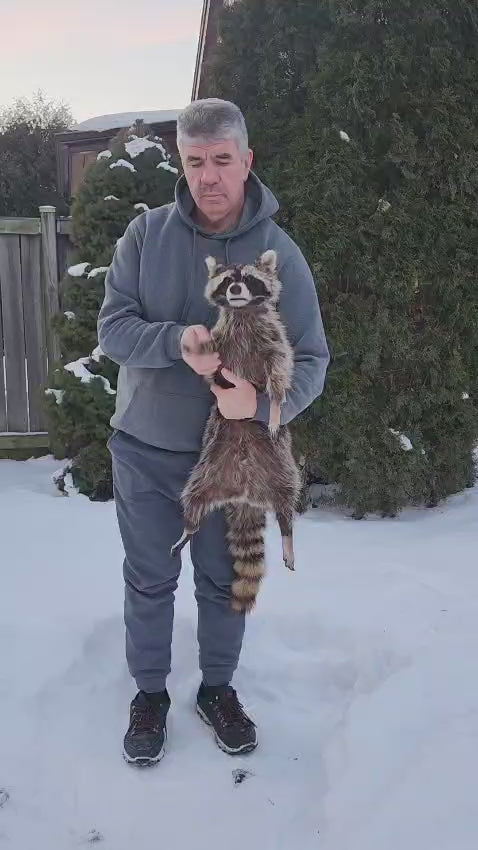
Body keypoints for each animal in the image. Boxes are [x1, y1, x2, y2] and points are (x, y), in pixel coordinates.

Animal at [171, 250, 301, 612]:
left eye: (248, 279)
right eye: (228, 280)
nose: (234, 291)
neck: (242, 312)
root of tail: (244, 493)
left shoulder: (273, 339)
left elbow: (280, 370)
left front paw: (275, 404)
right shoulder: (221, 340)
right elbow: (208, 360)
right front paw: (189, 345)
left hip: (281, 465)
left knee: (288, 498)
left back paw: (287, 532)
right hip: (207, 467)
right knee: (193, 497)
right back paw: (188, 528)